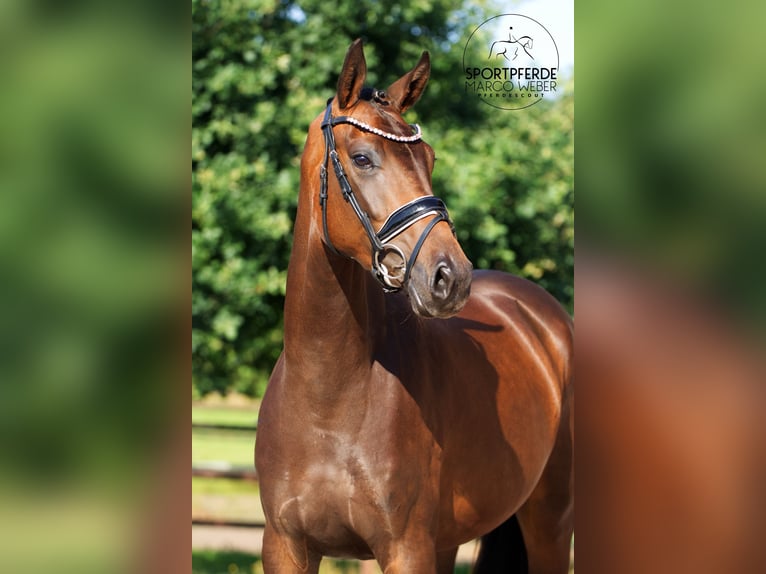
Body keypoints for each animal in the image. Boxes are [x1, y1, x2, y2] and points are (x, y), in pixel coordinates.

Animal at [255, 39, 573, 574]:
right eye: (362, 158)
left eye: (430, 158)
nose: (450, 276)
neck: (327, 400)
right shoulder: (285, 547)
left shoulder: (406, 549)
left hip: (549, 521)